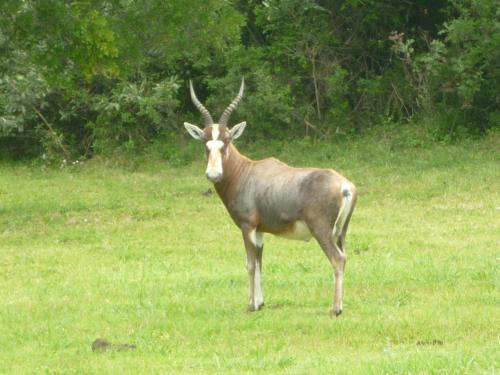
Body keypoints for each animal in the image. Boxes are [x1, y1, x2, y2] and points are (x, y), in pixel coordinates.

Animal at [184, 78, 356, 318]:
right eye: (205, 143)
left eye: (226, 141)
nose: (213, 174)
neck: (246, 172)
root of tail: (344, 186)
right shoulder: (260, 230)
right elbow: (259, 262)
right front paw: (260, 302)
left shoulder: (247, 226)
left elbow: (250, 264)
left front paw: (250, 305)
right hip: (341, 232)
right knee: (345, 257)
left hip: (322, 231)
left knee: (338, 259)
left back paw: (336, 309)